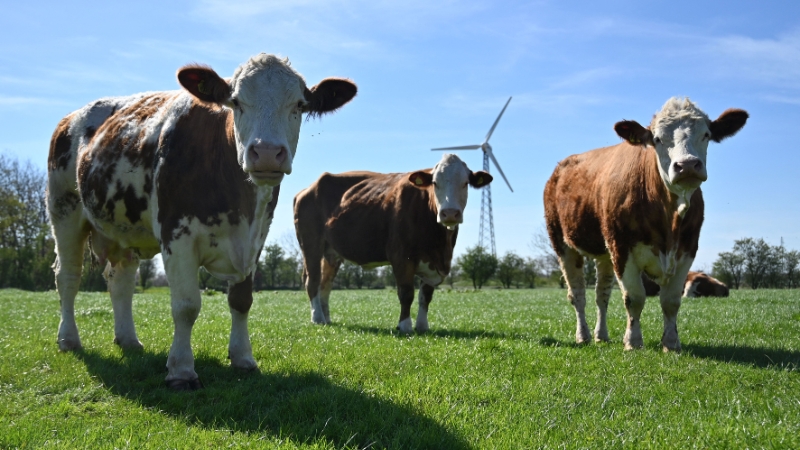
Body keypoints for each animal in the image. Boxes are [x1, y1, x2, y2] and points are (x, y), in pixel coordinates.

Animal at [47, 53, 357, 390]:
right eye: (236, 101)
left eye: (299, 105)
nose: (266, 153)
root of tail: (71, 118)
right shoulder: (176, 234)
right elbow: (186, 306)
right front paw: (181, 370)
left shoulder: (256, 238)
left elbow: (241, 300)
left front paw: (243, 358)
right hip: (64, 208)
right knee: (68, 276)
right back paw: (68, 339)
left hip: (123, 228)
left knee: (121, 280)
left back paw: (128, 339)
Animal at [293, 153, 492, 332]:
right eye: (435, 183)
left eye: (465, 183)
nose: (450, 213)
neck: (439, 244)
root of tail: (307, 189)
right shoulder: (401, 256)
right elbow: (406, 293)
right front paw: (405, 326)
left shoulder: (432, 262)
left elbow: (425, 296)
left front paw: (422, 326)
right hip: (311, 243)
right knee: (312, 280)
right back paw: (317, 318)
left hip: (331, 252)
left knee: (325, 284)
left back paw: (326, 318)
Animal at [544, 97, 747, 352]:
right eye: (657, 139)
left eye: (706, 134)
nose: (688, 165)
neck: (668, 218)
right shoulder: (622, 249)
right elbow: (634, 297)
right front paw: (633, 342)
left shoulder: (687, 250)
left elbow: (671, 300)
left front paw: (671, 343)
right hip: (563, 244)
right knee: (578, 295)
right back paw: (584, 335)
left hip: (605, 251)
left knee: (602, 295)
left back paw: (602, 335)